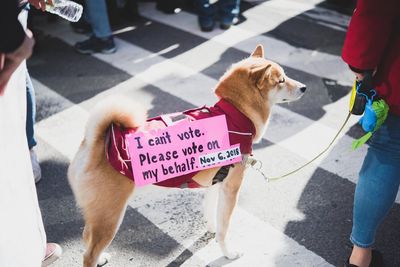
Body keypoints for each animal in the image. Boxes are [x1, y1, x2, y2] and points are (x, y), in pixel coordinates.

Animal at [68, 45, 306, 266]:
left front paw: (211, 230)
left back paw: (101, 258)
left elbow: (212, 215)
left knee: (87, 237)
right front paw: (228, 253)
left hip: (99, 216)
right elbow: (225, 228)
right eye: (281, 80)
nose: (304, 87)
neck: (233, 115)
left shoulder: (216, 182)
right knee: (88, 254)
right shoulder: (231, 189)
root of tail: (96, 140)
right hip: (110, 216)